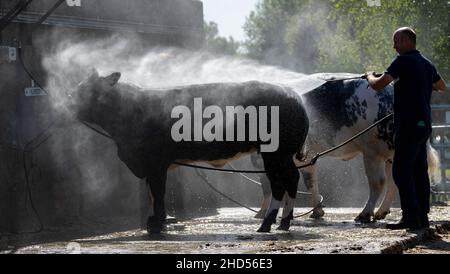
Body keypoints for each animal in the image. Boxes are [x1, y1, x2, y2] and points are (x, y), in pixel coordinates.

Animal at [71, 70, 310, 233]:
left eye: (89, 90)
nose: (68, 100)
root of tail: (295, 98)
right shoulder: (149, 166)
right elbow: (151, 193)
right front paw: (154, 223)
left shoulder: (156, 163)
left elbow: (158, 192)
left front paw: (156, 225)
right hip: (278, 155)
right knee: (290, 180)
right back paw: (283, 223)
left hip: (275, 154)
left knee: (282, 182)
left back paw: (267, 224)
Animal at [256, 75, 440, 223]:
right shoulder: (306, 158)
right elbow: (310, 182)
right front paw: (316, 211)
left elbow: (271, 186)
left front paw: (267, 213)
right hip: (391, 153)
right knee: (394, 180)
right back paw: (381, 212)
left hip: (373, 150)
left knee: (378, 182)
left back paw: (365, 214)